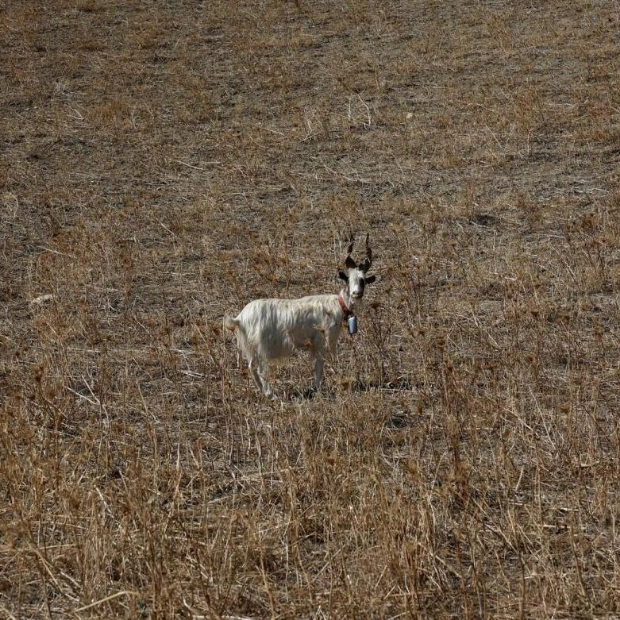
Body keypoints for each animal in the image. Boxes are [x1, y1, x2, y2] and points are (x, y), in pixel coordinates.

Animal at [225, 235, 376, 400]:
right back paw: (271, 394)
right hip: (263, 347)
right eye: (348, 279)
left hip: (251, 346)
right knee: (260, 370)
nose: (356, 293)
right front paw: (316, 388)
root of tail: (240, 318)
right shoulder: (321, 341)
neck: (337, 304)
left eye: (363, 280)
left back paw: (262, 392)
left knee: (251, 366)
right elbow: (319, 365)